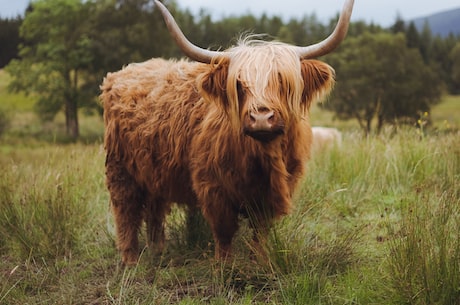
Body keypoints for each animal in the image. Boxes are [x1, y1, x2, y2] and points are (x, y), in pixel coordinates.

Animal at [99, 0, 352, 264]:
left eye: (282, 82)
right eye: (239, 84)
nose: (261, 117)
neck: (262, 158)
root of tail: (124, 71)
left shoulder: (273, 194)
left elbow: (260, 233)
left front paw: (259, 261)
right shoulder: (213, 187)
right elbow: (224, 232)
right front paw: (224, 266)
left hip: (153, 172)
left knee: (155, 210)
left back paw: (158, 251)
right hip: (120, 170)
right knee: (126, 213)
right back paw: (130, 261)